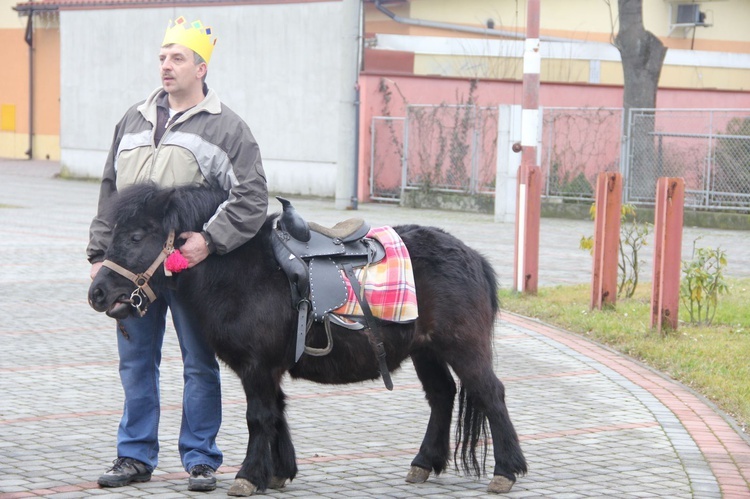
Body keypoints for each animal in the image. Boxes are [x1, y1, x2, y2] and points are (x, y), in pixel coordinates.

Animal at [88, 184, 528, 496]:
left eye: (137, 236)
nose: (98, 293)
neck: (240, 270)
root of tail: (473, 258)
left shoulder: (257, 367)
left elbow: (259, 417)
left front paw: (249, 476)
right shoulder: (267, 369)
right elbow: (277, 413)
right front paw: (279, 472)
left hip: (463, 347)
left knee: (491, 394)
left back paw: (506, 471)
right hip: (427, 351)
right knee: (442, 397)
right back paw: (423, 462)